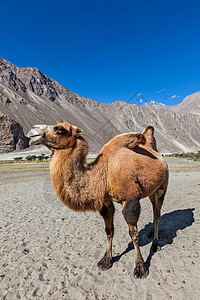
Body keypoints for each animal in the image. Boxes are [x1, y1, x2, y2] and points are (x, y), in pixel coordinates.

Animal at [26, 121, 168, 278]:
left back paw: (155, 244)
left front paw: (140, 267)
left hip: (162, 187)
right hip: (151, 190)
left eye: (59, 129)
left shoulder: (131, 200)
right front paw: (106, 260)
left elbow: (134, 235)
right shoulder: (105, 201)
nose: (32, 131)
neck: (105, 173)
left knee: (157, 213)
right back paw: (151, 234)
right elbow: (109, 230)